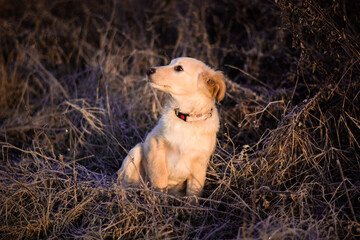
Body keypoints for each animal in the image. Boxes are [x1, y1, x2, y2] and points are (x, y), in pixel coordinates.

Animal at [118, 57, 225, 196]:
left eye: (179, 68)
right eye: (170, 63)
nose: (149, 70)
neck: (187, 120)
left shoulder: (200, 164)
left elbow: (194, 193)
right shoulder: (155, 145)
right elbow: (159, 178)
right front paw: (159, 199)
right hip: (135, 152)